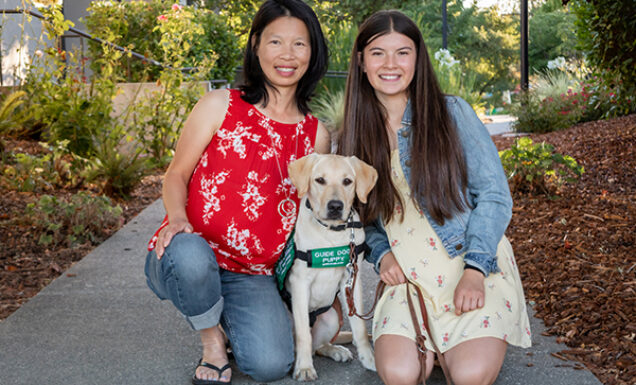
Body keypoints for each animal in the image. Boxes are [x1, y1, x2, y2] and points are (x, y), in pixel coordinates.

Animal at [284, 154, 378, 380]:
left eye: (347, 181)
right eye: (320, 180)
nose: (335, 206)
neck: (330, 232)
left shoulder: (352, 280)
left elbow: (360, 328)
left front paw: (369, 359)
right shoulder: (300, 283)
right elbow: (303, 334)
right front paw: (304, 368)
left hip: (333, 318)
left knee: (317, 346)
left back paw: (335, 350)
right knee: (304, 341)